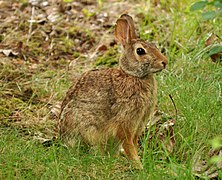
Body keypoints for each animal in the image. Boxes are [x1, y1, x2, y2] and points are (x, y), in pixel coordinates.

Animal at [58, 13, 167, 169]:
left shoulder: (139, 123)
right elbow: (128, 143)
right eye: (140, 51)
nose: (165, 62)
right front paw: (138, 165)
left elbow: (134, 142)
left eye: (154, 45)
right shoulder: (125, 120)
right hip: (89, 129)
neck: (133, 76)